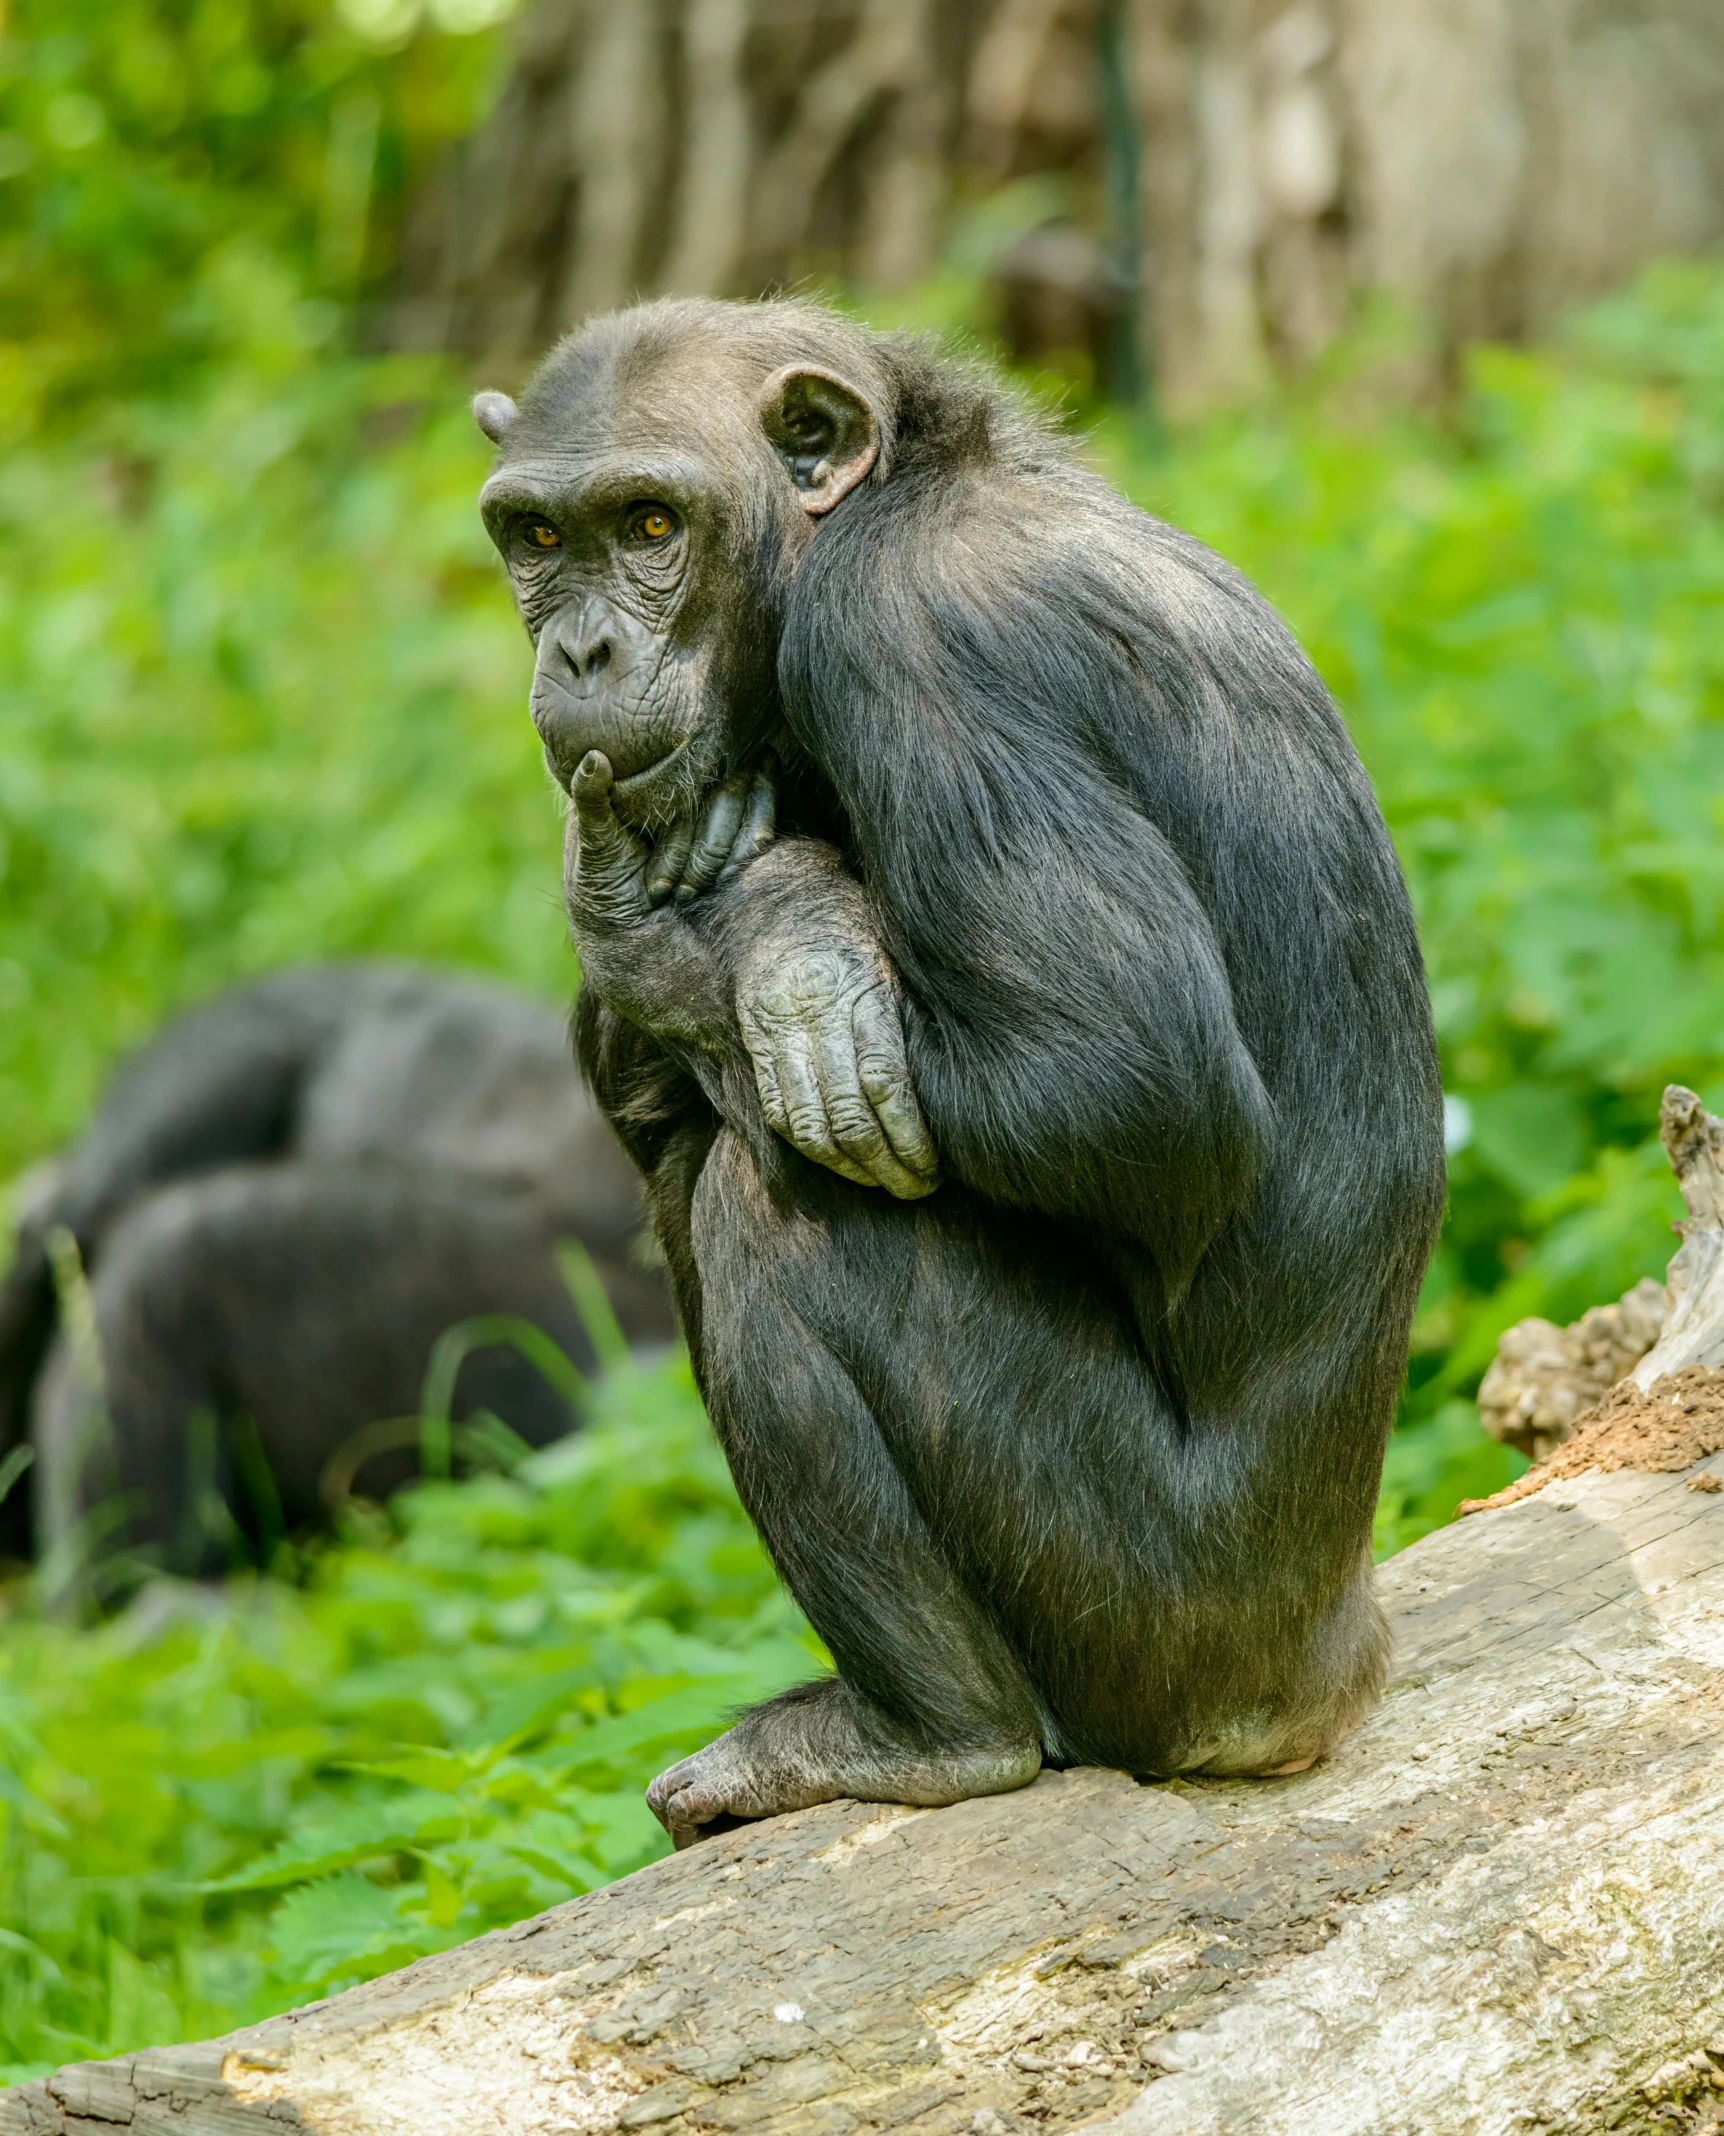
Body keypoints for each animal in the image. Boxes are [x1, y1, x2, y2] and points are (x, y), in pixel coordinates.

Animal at [467, 292, 1444, 1845]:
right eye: (538, 537)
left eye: (649, 522)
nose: (582, 657)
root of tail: (1321, 1688)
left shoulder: (912, 643)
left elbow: (1126, 1083)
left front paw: (748, 930)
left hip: (1141, 1614)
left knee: (779, 1213)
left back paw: (927, 1735)